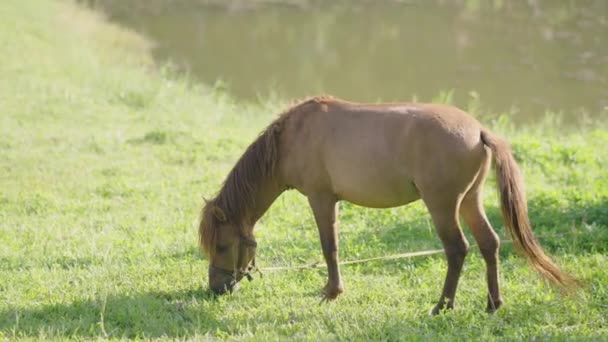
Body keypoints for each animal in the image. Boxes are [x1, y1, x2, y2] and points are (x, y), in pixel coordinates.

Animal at [200, 95, 576, 312]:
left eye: (222, 246)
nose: (216, 289)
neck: (291, 138)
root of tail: (480, 131)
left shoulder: (322, 199)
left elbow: (329, 247)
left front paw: (332, 292)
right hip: (471, 201)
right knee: (489, 244)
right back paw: (493, 304)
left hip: (443, 206)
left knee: (457, 249)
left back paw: (443, 306)